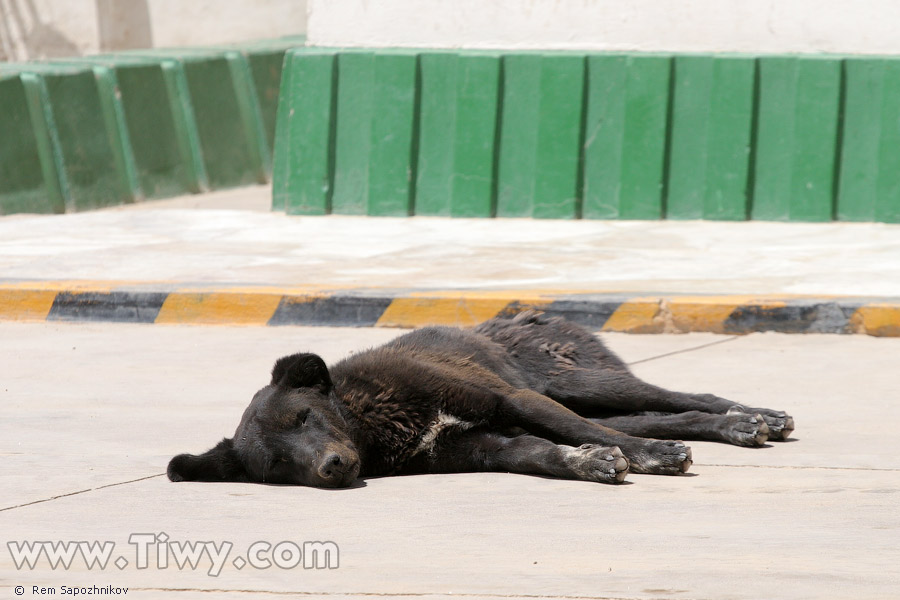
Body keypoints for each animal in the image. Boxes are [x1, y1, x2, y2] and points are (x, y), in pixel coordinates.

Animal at [169, 312, 796, 486]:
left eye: (304, 416)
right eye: (277, 466)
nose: (333, 468)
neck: (370, 420)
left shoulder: (512, 403)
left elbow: (592, 437)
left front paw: (650, 460)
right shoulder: (482, 448)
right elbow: (546, 454)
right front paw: (592, 465)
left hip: (573, 385)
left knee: (684, 396)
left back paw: (754, 416)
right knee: (663, 416)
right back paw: (735, 426)